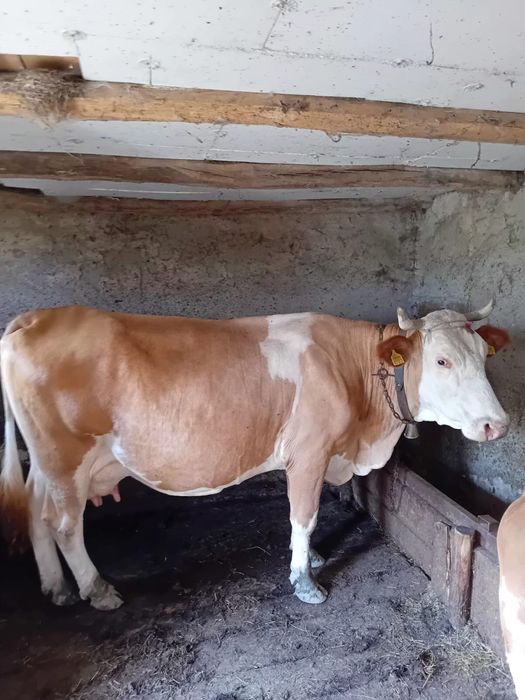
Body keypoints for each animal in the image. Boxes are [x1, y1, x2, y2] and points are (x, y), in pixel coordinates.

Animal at [0, 302, 510, 611]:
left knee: (36, 510)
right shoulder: (310, 451)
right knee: (65, 524)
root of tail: (34, 318)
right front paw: (305, 580)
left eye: (485, 355)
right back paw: (96, 588)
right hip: (66, 457)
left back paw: (56, 587)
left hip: (47, 462)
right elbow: (304, 513)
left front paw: (312, 558)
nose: (498, 424)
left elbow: (305, 513)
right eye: (442, 360)